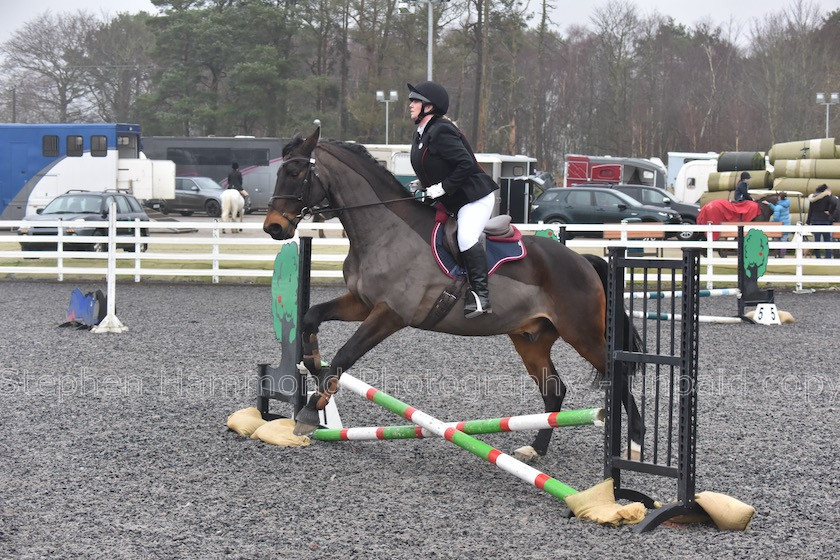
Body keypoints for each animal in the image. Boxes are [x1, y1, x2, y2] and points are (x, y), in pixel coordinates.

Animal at [262, 129, 644, 462]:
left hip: (583, 334)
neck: (382, 231)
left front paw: (310, 410)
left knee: (618, 378)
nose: (273, 227)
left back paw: (635, 445)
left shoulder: (390, 314)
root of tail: (582, 260)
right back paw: (535, 449)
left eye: (294, 172)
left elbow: (346, 353)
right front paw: (313, 366)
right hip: (531, 339)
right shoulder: (362, 303)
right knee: (555, 390)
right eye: (278, 171)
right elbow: (311, 317)